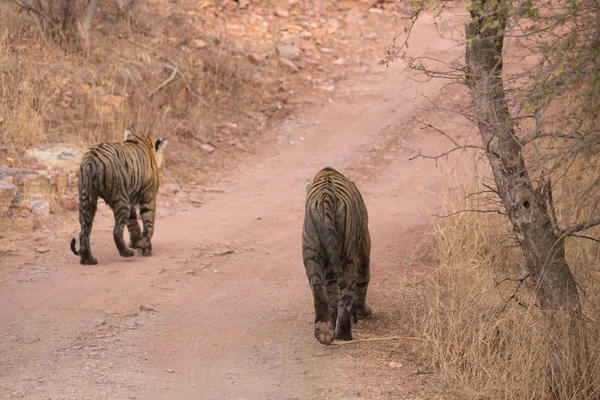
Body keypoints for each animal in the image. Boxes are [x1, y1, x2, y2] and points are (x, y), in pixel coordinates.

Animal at [71, 130, 168, 264]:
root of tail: (91, 159)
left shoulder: (130, 198)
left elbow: (133, 221)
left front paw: (137, 242)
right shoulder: (149, 194)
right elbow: (148, 221)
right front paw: (145, 246)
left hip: (86, 198)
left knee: (84, 231)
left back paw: (88, 260)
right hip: (120, 198)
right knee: (116, 231)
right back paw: (127, 253)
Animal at [302, 167, 372, 346]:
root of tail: (326, 197)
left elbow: (330, 290)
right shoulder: (364, 244)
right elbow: (363, 279)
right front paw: (363, 311)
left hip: (311, 251)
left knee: (318, 287)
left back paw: (324, 331)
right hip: (347, 257)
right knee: (348, 290)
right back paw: (344, 333)